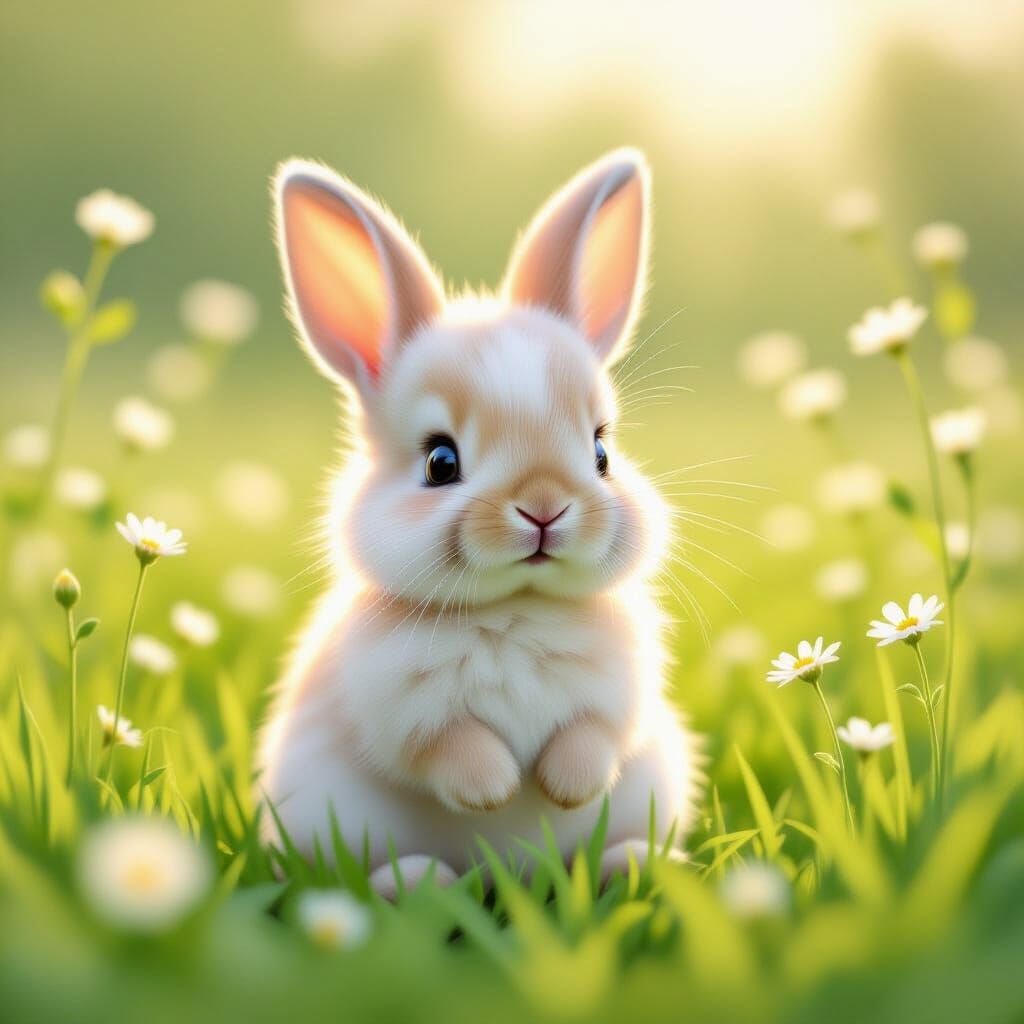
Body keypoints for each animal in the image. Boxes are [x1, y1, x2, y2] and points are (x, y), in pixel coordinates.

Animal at [257, 148, 701, 894]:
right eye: (440, 461)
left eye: (601, 452)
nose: (545, 506)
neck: (514, 610)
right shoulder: (398, 712)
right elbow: (446, 748)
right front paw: (495, 790)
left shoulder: (621, 699)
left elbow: (594, 736)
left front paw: (566, 788)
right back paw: (418, 882)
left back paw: (636, 864)